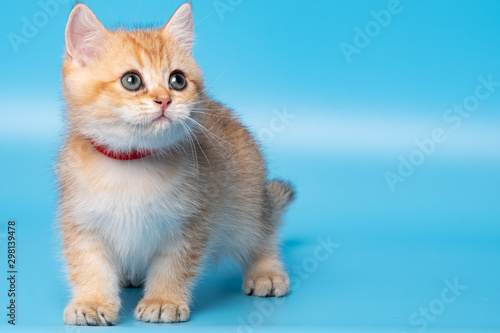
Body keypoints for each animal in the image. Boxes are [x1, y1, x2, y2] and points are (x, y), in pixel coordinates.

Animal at [59, 1, 292, 324]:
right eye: (131, 80)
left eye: (177, 80)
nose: (164, 100)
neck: (132, 164)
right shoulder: (82, 222)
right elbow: (89, 265)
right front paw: (92, 301)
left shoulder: (189, 223)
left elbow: (173, 267)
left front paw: (162, 299)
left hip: (246, 204)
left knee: (262, 234)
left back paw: (266, 271)